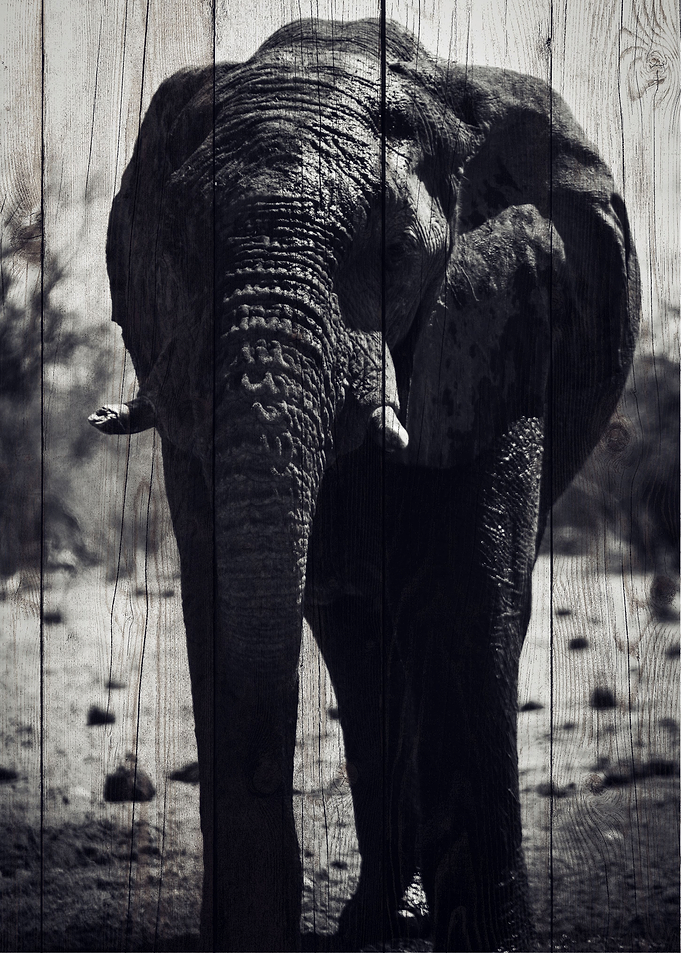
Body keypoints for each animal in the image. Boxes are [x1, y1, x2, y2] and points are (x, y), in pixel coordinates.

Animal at [90, 17, 640, 952]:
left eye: (394, 255)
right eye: (183, 245)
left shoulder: (503, 314)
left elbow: (466, 595)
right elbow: (215, 593)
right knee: (358, 640)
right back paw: (377, 919)